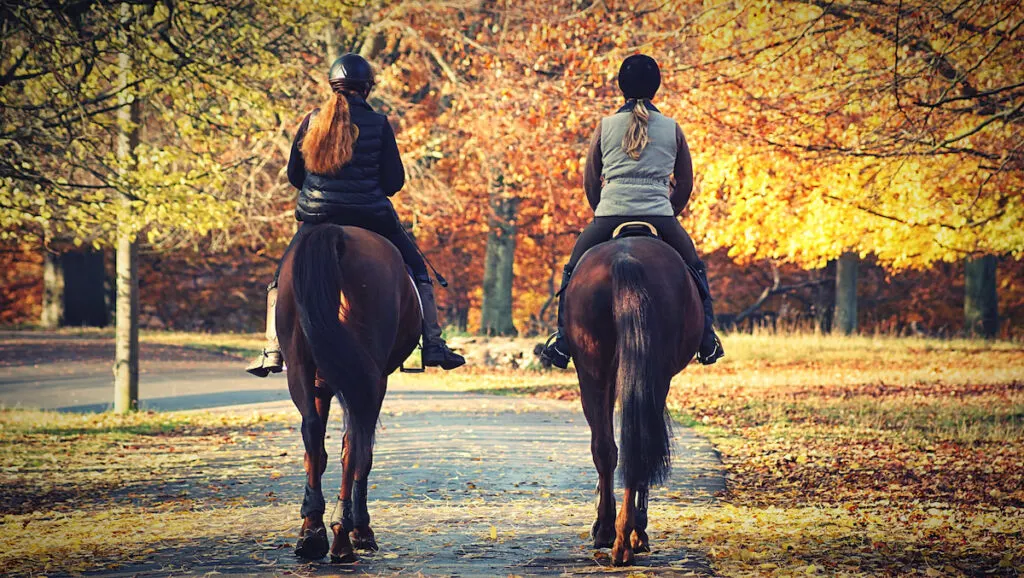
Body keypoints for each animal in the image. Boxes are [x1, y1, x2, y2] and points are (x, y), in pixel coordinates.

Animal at [274, 223, 421, 561]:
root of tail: (336, 232)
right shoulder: (376, 381)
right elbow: (361, 454)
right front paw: (362, 530)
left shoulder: (320, 386)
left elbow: (315, 453)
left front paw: (309, 526)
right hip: (368, 376)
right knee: (353, 443)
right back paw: (343, 534)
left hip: (300, 363)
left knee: (313, 431)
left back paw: (313, 533)